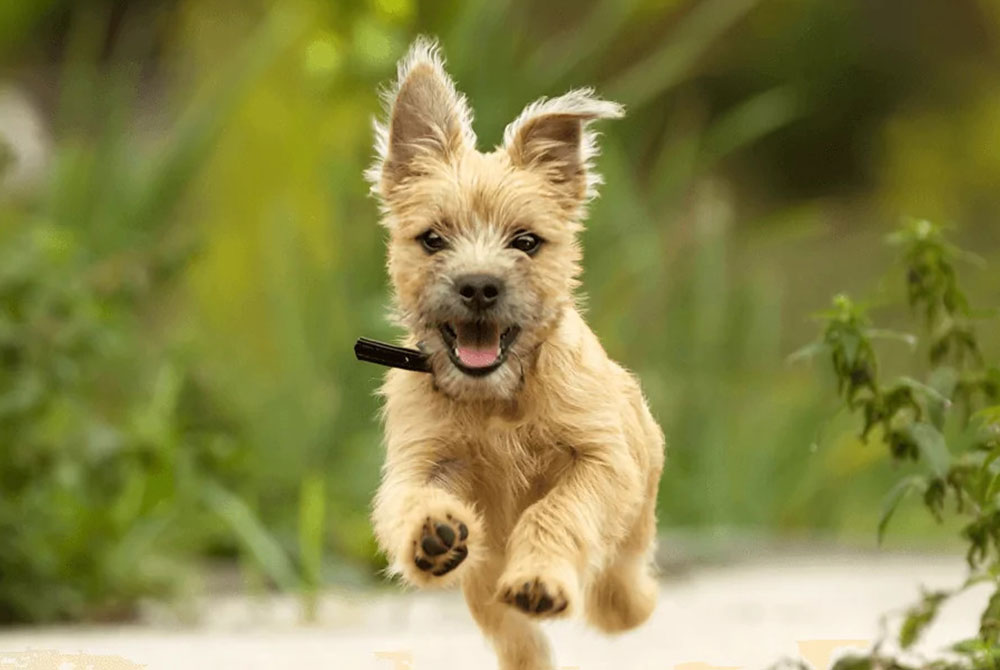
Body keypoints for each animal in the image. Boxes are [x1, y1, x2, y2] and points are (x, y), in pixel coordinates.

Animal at [366, 38, 664, 670]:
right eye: (433, 239)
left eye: (526, 242)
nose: (479, 286)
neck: (496, 400)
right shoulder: (420, 460)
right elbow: (408, 499)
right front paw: (432, 533)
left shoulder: (601, 461)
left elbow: (555, 512)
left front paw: (541, 580)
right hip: (483, 586)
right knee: (513, 636)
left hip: (636, 511)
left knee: (620, 582)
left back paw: (623, 602)